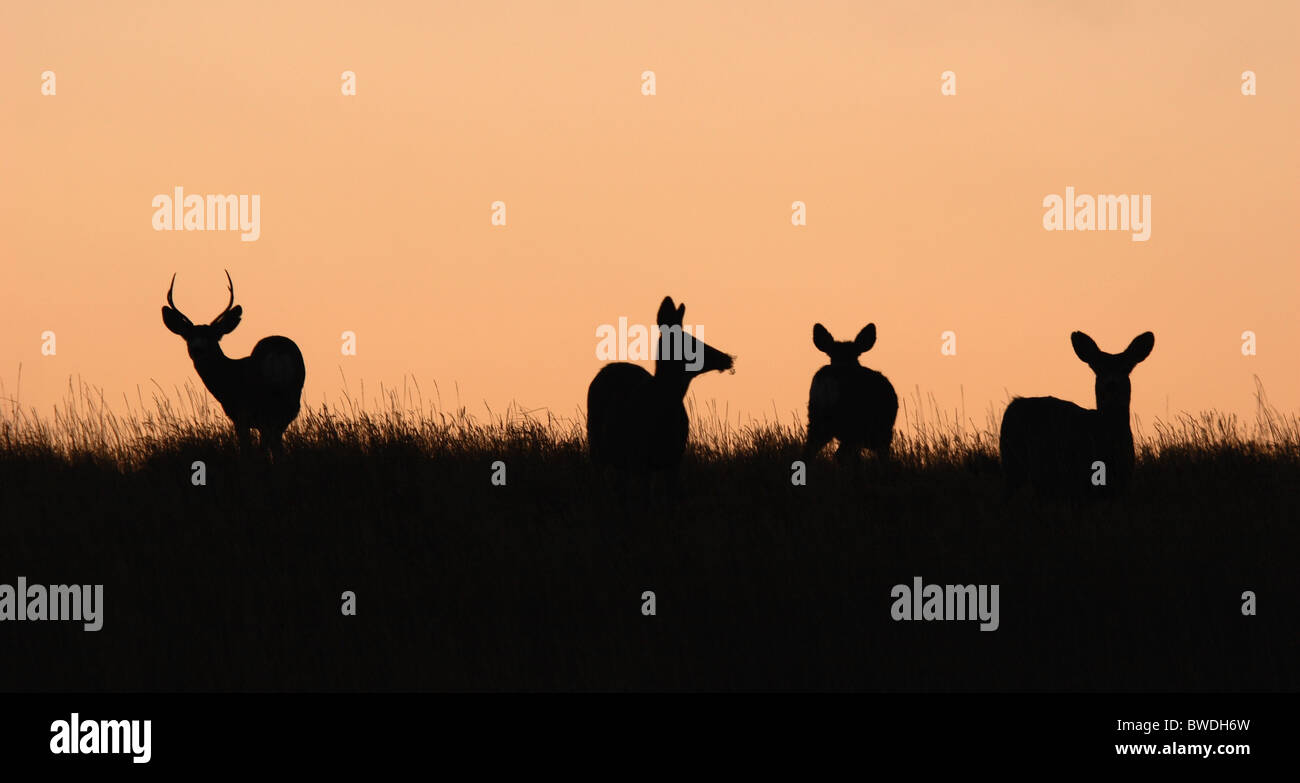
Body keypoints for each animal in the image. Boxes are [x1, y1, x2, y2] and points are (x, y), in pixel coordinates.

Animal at [159, 269, 304, 455]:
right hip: (290, 402)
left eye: (212, 337)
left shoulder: (239, 414)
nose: (198, 349)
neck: (229, 374)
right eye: (188, 337)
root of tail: (278, 350)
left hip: (261, 406)